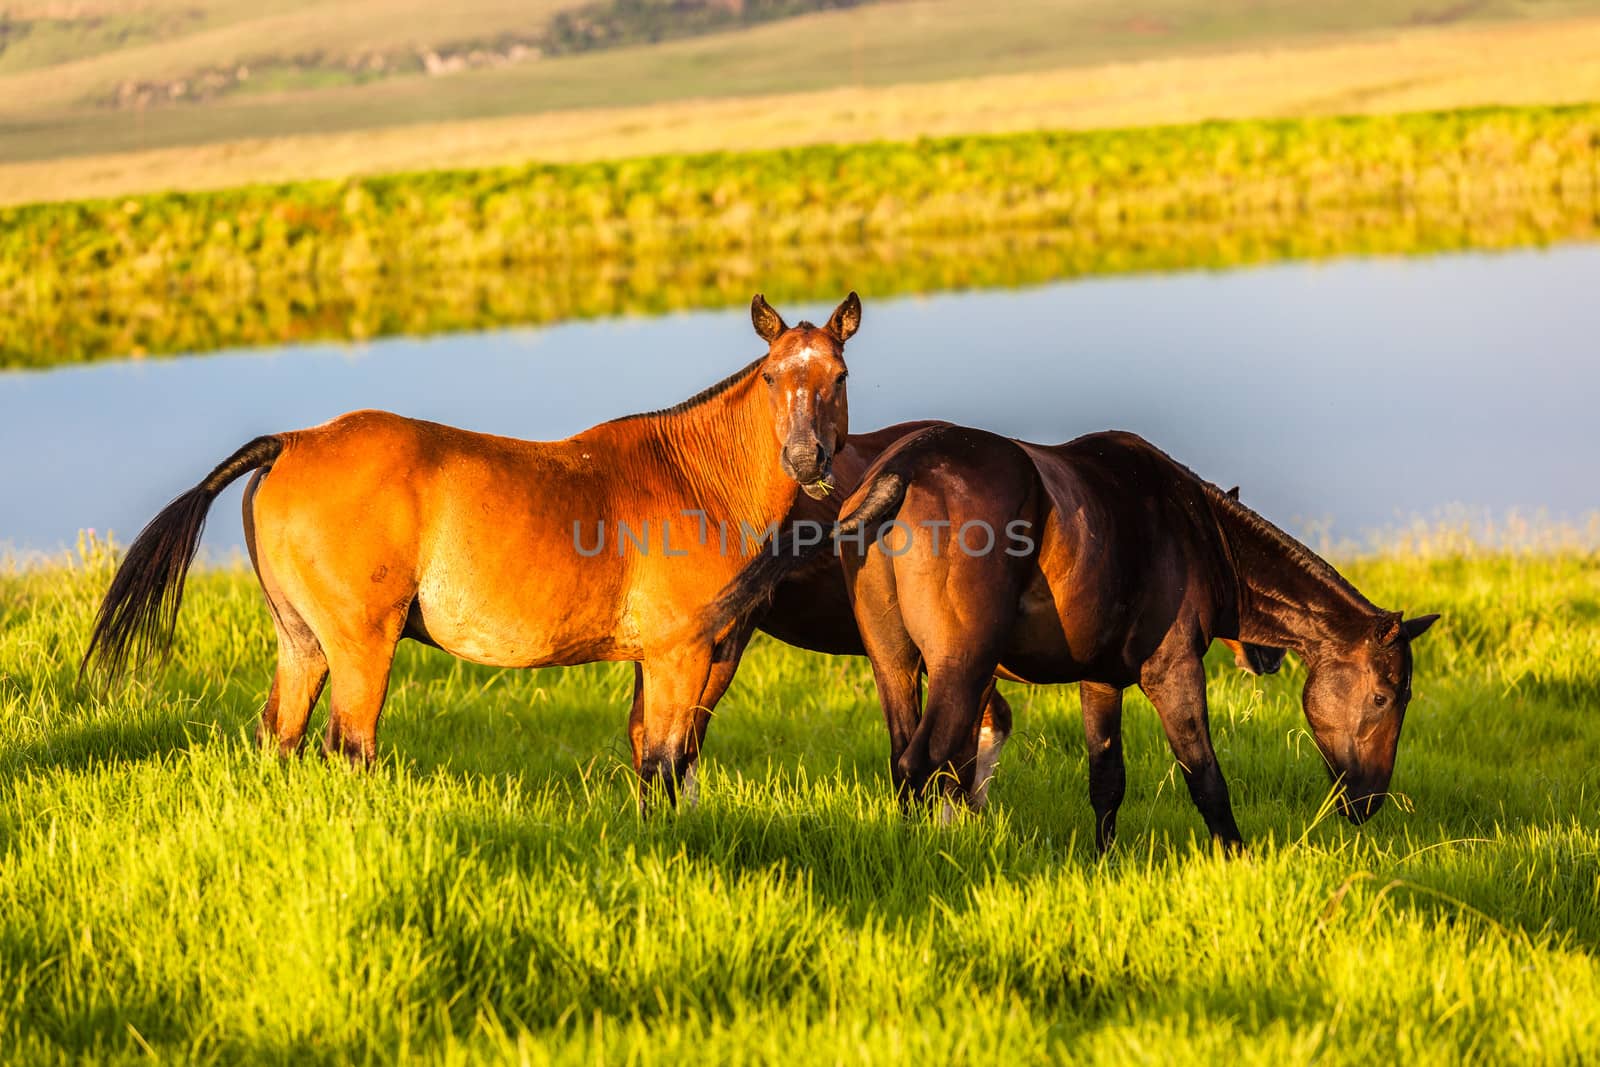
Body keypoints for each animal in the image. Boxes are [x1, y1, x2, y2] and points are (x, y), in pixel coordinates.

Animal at [81, 295, 864, 806]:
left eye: (838, 376)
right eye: (773, 376)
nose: (806, 457)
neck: (692, 473)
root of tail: (294, 442)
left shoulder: (670, 659)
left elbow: (655, 753)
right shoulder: (684, 653)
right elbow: (668, 759)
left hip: (301, 641)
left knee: (284, 734)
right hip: (361, 645)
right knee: (350, 744)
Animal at [700, 425, 1440, 851]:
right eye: (1385, 696)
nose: (1369, 803)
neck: (1196, 530)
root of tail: (901, 471)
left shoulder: (1100, 680)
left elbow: (1106, 781)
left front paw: (1104, 861)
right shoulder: (1173, 671)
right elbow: (1204, 774)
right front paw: (1238, 857)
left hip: (895, 664)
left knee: (905, 761)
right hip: (961, 668)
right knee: (925, 762)